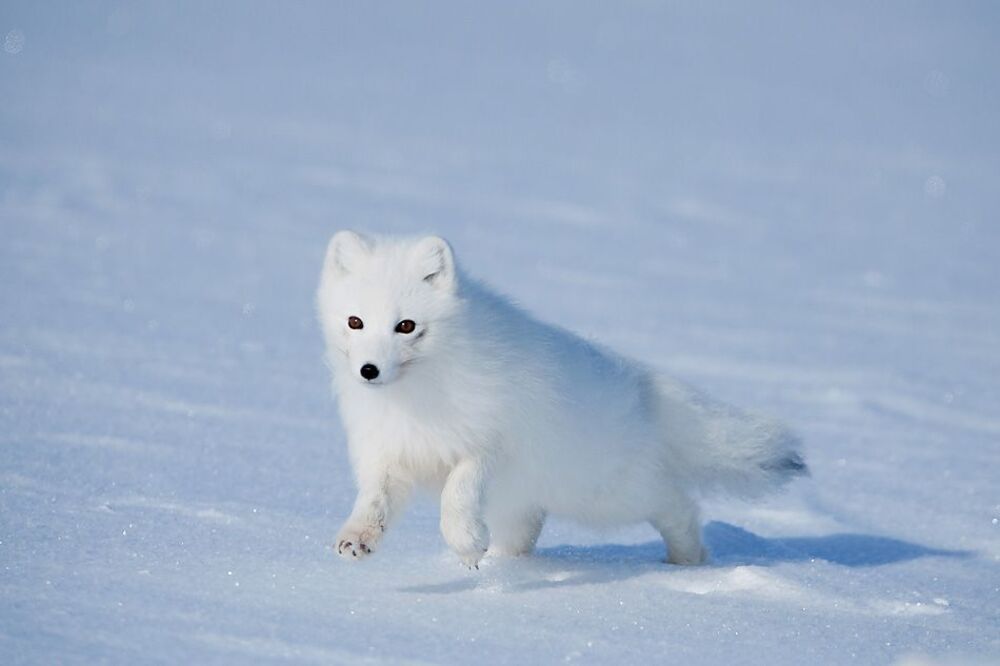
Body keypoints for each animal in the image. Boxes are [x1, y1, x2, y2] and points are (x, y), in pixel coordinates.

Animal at [316, 231, 807, 568]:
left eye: (406, 326)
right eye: (355, 321)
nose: (369, 371)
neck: (416, 401)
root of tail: (641, 385)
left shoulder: (490, 443)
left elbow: (458, 492)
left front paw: (466, 544)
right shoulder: (386, 452)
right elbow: (374, 501)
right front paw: (356, 538)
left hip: (608, 494)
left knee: (677, 503)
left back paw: (687, 559)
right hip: (531, 499)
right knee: (528, 531)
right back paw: (509, 562)